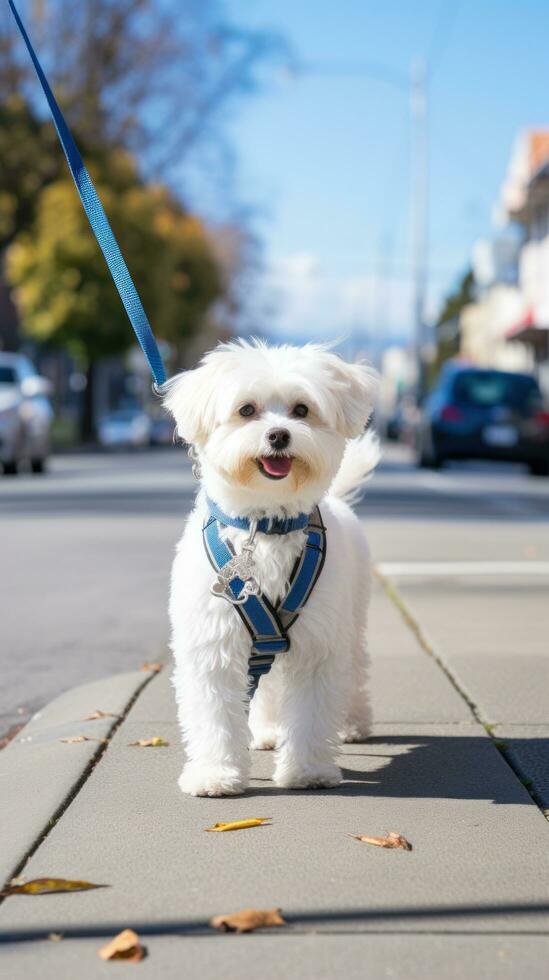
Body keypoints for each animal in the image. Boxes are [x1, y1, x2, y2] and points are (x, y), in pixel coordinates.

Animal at [162, 340, 376, 800]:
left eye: (301, 410)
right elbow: (214, 716)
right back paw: (267, 731)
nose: (279, 435)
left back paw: (352, 723)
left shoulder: (318, 644)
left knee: (353, 670)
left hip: (350, 621)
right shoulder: (213, 644)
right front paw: (215, 774)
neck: (265, 525)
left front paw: (308, 770)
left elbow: (312, 712)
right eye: (246, 410)